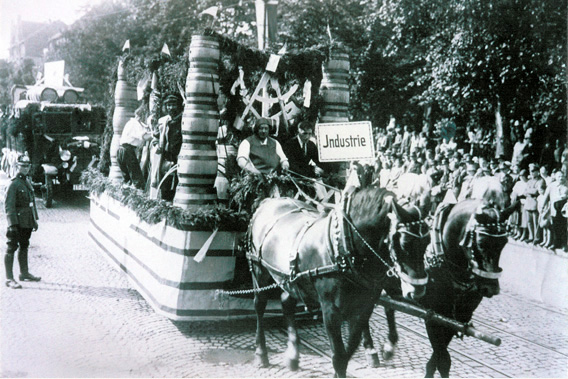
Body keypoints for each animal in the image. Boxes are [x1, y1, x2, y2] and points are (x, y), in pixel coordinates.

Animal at [246, 186, 428, 378]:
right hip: (259, 271)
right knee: (259, 305)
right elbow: (339, 355)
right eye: (405, 243)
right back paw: (261, 353)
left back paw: (293, 355)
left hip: (290, 279)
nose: (418, 289)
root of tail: (268, 201)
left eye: (427, 241)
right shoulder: (330, 310)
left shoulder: (363, 307)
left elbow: (349, 348)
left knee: (286, 302)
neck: (344, 247)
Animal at [382, 179, 520, 379]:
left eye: (504, 243)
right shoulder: (432, 315)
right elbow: (443, 359)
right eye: (481, 242)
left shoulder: (457, 317)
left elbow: (439, 359)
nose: (491, 288)